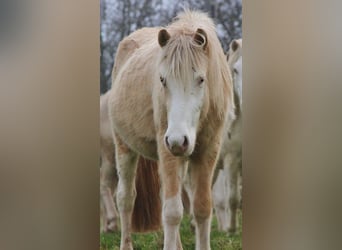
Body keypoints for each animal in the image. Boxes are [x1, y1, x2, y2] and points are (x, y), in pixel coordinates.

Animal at [108, 10, 234, 250]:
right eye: (163, 80)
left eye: (201, 79)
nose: (177, 140)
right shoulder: (167, 150)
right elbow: (173, 212)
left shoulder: (208, 152)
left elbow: (202, 208)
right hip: (125, 147)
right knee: (126, 198)